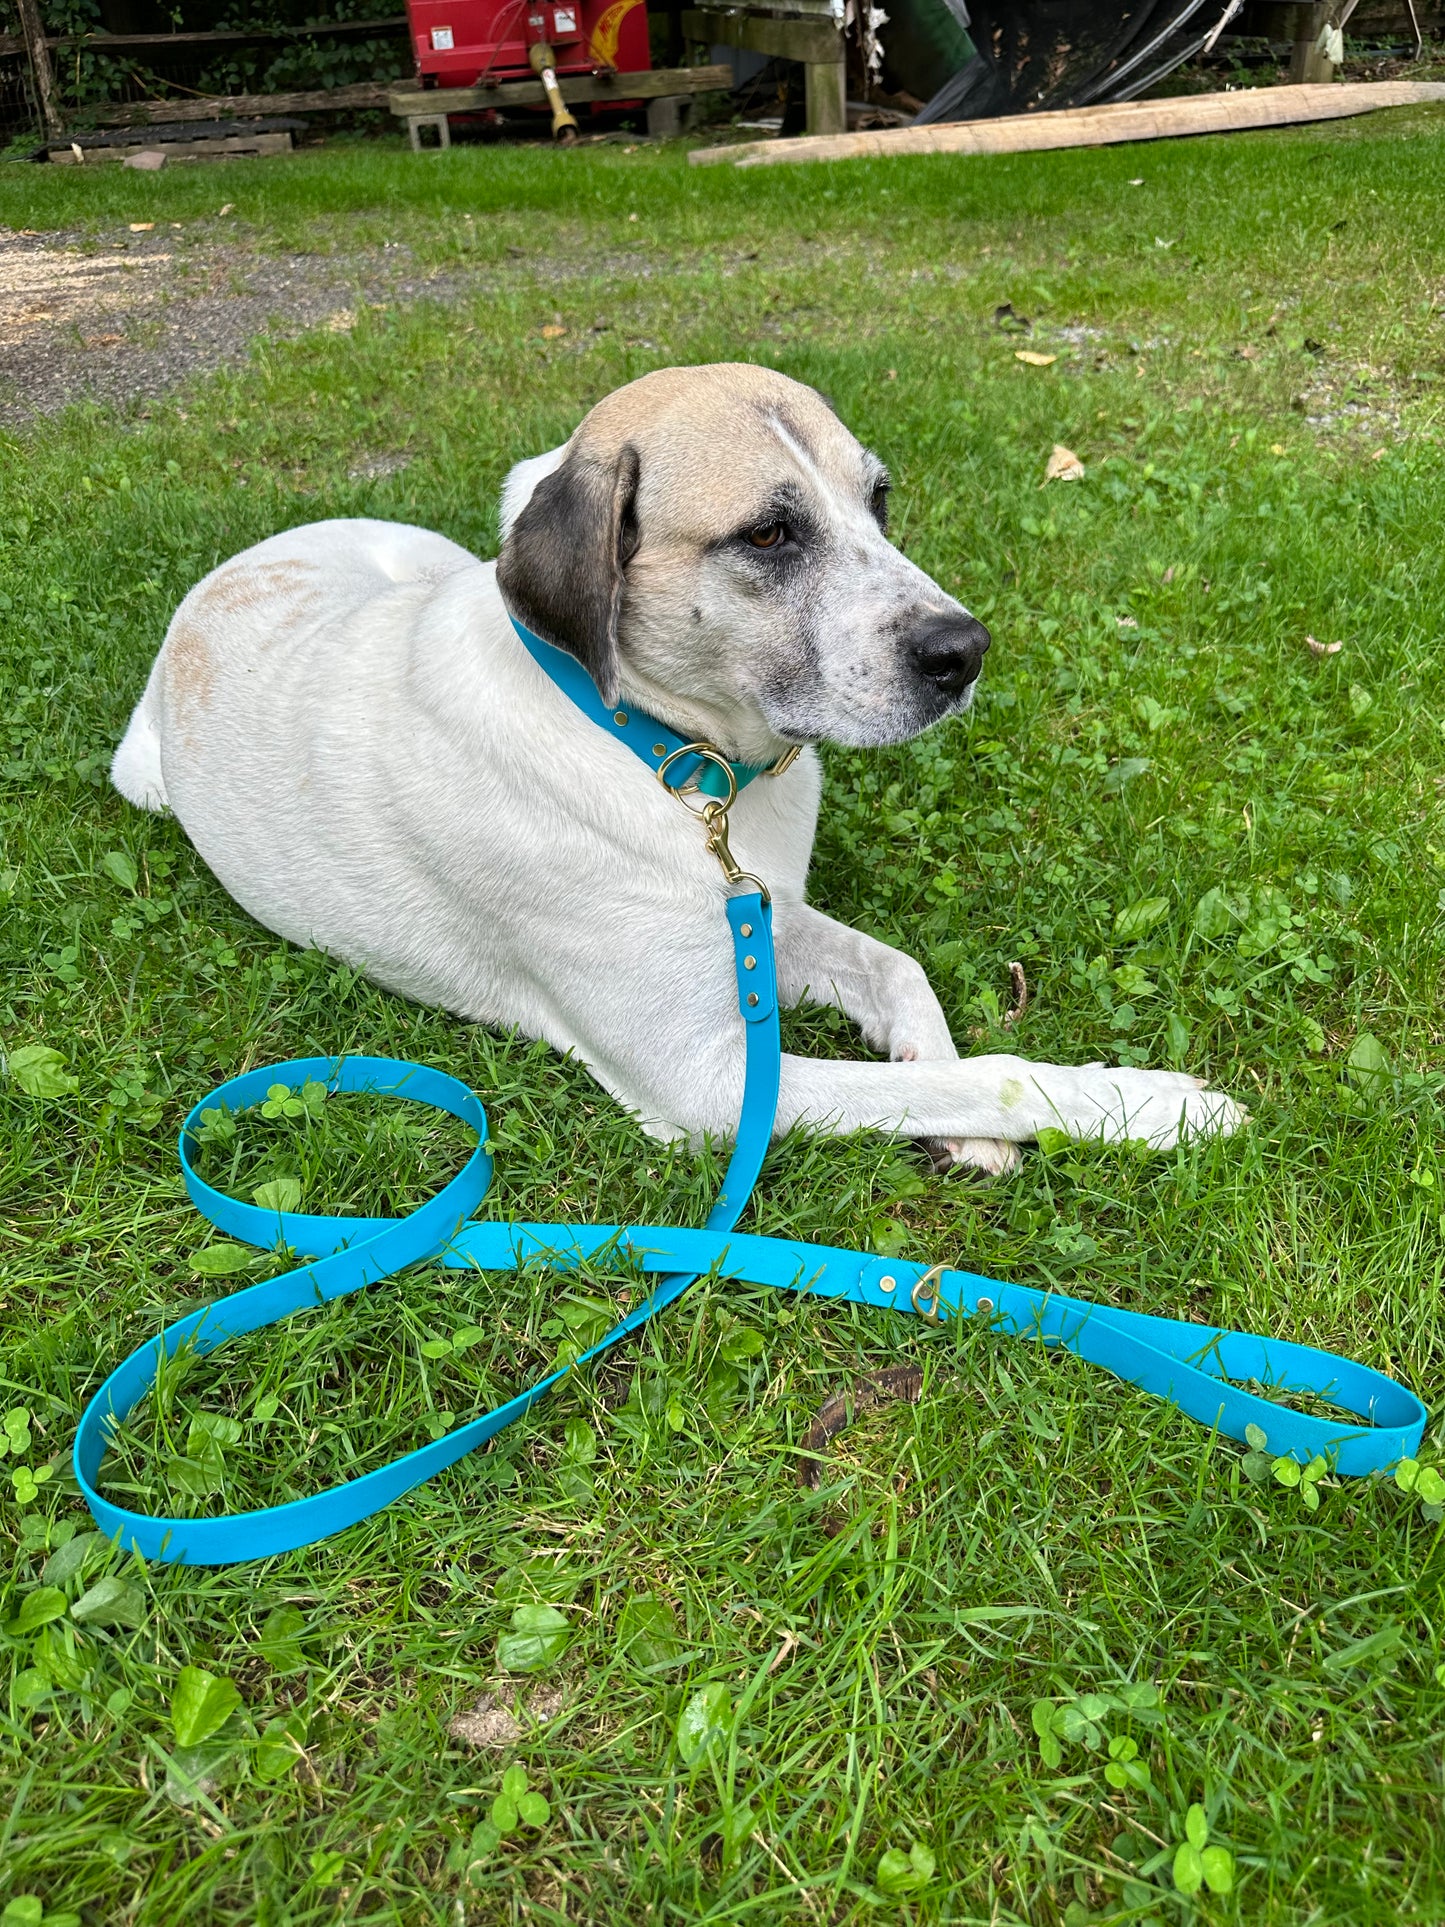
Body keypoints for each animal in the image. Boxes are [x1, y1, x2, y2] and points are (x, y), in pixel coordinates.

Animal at [113, 362, 1248, 1171]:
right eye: (770, 532)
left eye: (879, 501)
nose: (964, 652)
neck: (677, 759)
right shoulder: (706, 1080)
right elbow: (1000, 1074)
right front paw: (1142, 1103)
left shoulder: (763, 916)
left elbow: (900, 972)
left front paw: (953, 1101)